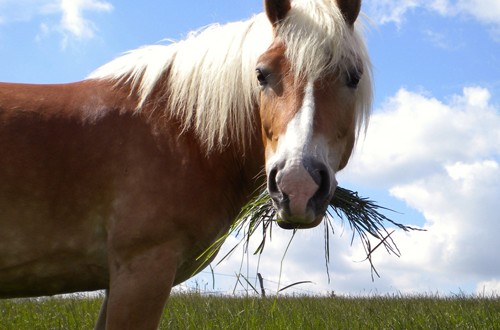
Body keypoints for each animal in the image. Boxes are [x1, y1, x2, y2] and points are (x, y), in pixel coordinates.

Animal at [0, 1, 372, 328]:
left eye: (353, 76)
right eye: (261, 74)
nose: (297, 185)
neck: (180, 133)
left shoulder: (116, 279)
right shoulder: (142, 271)